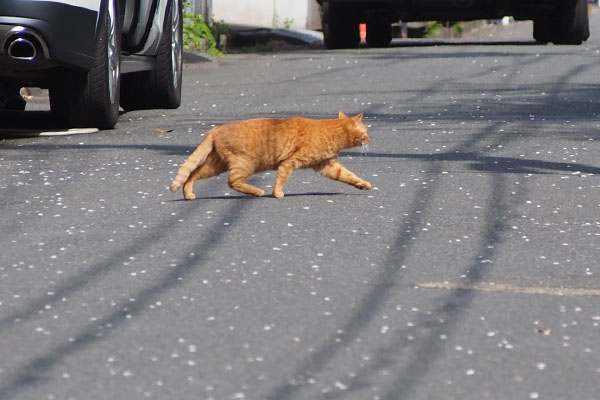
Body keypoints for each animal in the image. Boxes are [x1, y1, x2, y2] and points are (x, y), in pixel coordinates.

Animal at [166, 111, 368, 200]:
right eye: (366, 132)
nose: (369, 139)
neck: (329, 131)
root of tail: (216, 129)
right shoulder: (289, 162)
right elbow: (281, 179)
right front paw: (277, 193)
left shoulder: (328, 165)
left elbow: (348, 175)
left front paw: (364, 184)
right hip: (245, 164)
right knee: (232, 181)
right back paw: (257, 191)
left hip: (215, 165)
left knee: (192, 174)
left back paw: (188, 194)